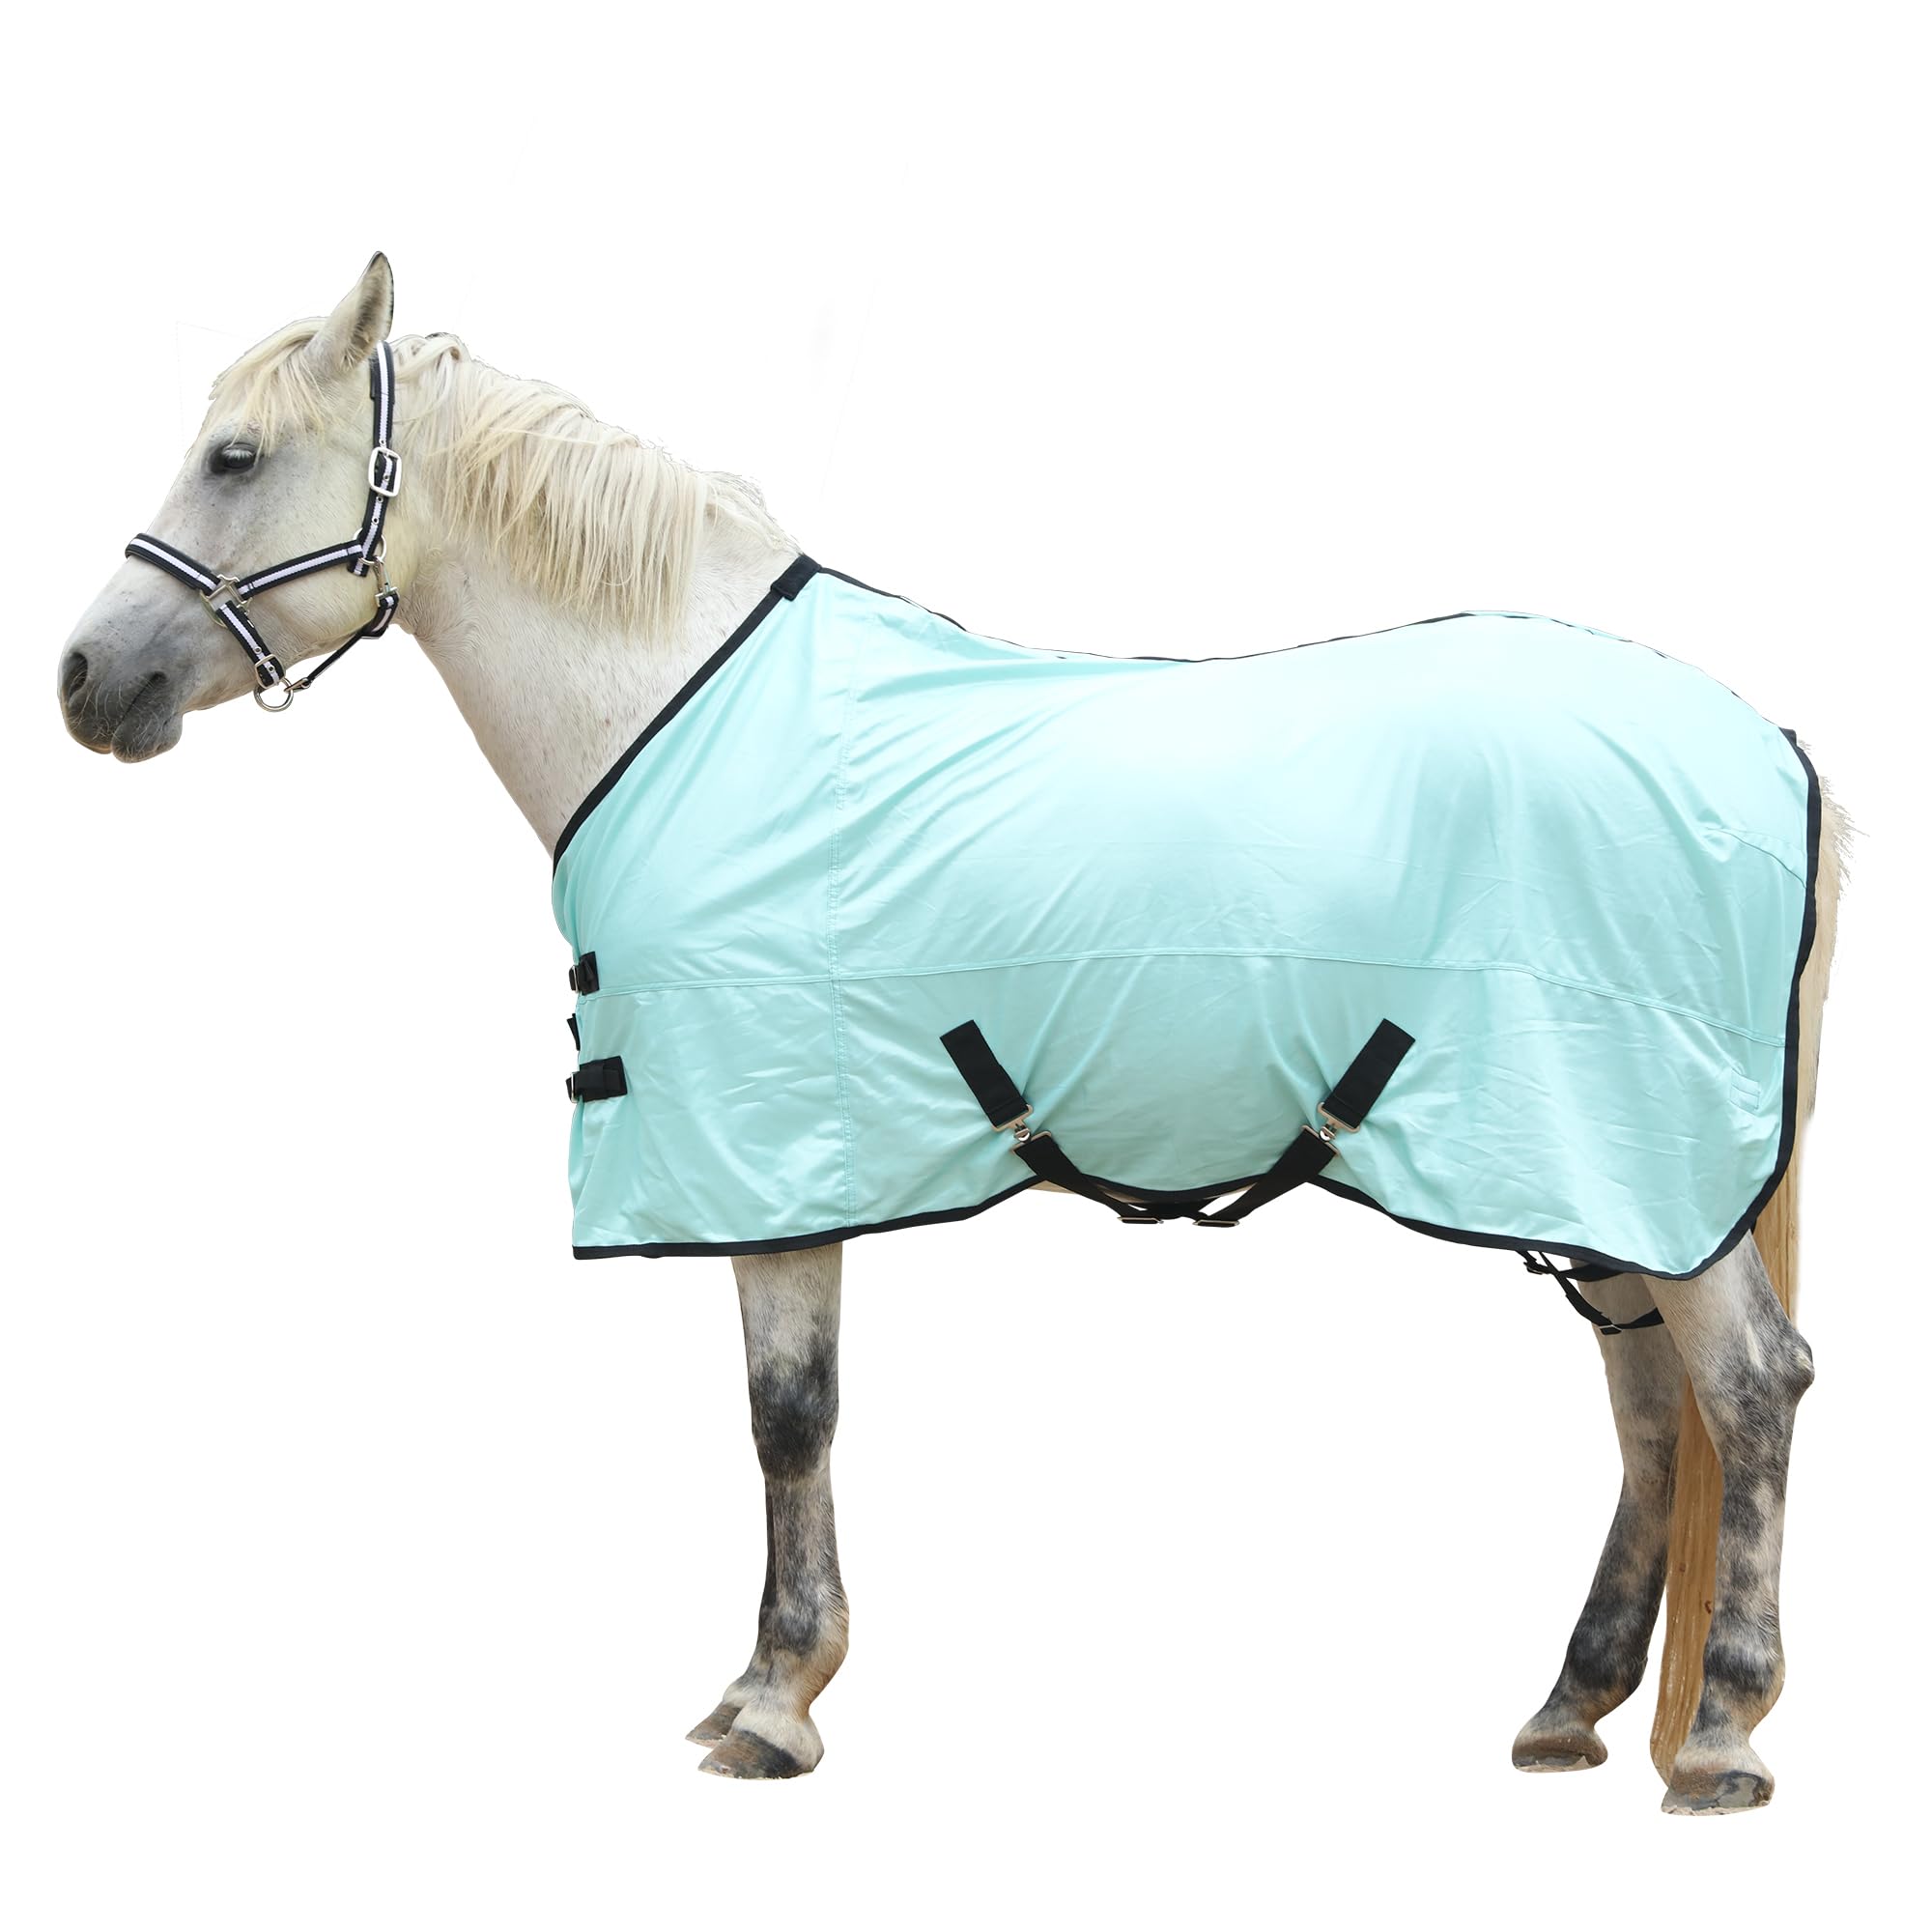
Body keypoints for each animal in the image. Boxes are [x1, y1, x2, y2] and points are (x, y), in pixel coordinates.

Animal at [56, 254, 1845, 1809]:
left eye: (232, 456)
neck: (681, 707)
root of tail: (1771, 752)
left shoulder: (773, 1145)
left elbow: (790, 1414)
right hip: (1596, 1178)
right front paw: (764, 1685)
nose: (85, 680)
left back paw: (1720, 1733)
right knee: (1648, 1405)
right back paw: (1574, 1707)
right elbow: (789, 1409)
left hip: (1631, 1160)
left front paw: (775, 1702)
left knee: (1750, 1386)